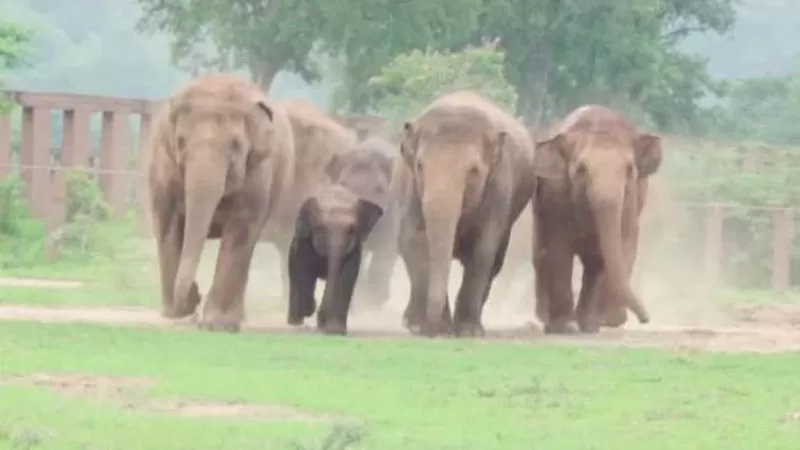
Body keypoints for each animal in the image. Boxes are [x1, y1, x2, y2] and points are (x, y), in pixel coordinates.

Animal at [146, 74, 294, 332]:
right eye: (181, 142)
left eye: (235, 145)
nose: (195, 298)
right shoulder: (163, 164)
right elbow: (168, 222)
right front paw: (178, 312)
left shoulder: (258, 170)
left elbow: (241, 226)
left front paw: (217, 325)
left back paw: (236, 319)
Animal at [286, 144, 392, 334]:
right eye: (321, 229)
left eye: (351, 231)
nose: (320, 317)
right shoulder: (304, 242)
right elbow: (304, 271)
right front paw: (310, 310)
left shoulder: (355, 250)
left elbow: (346, 277)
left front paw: (335, 330)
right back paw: (296, 321)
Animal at [396, 91, 536, 338]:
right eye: (420, 166)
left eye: (474, 171)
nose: (433, 331)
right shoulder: (411, 187)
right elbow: (413, 240)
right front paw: (425, 328)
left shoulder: (498, 187)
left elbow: (483, 249)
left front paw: (467, 332)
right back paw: (411, 321)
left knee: (495, 261)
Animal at [532, 103, 664, 332]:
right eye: (581, 170)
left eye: (629, 170)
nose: (646, 318)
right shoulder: (556, 195)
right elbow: (560, 251)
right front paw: (564, 328)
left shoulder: (630, 203)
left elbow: (608, 254)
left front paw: (590, 326)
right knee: (541, 254)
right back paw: (549, 319)